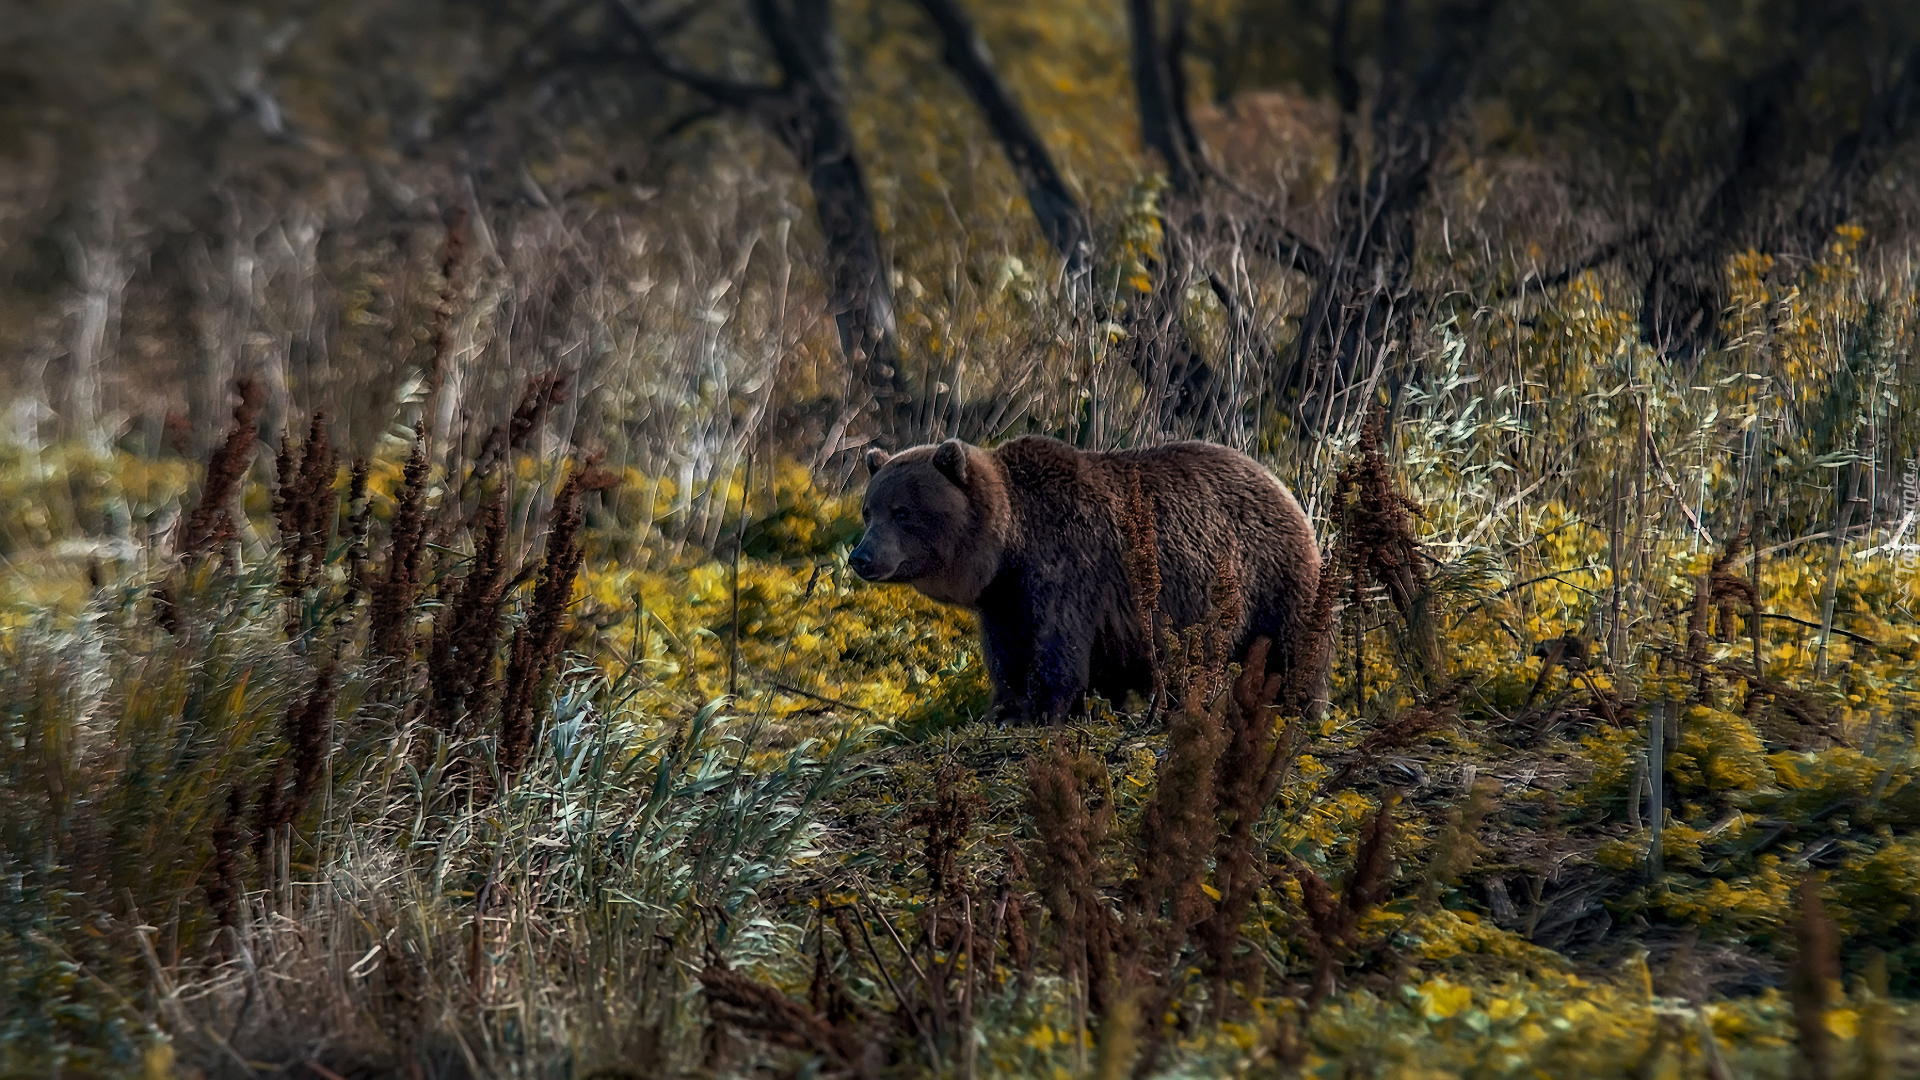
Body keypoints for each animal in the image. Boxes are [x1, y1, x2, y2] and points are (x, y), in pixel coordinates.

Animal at [852, 432, 1320, 718]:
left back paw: (1298, 707)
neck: (1010, 546)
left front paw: (1042, 710)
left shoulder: (1069, 568)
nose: (861, 556)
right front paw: (1005, 707)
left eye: (902, 512)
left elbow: (1059, 647)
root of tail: (1280, 484)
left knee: (1294, 649)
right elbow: (1007, 652)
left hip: (1271, 574)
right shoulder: (1005, 598)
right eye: (868, 510)